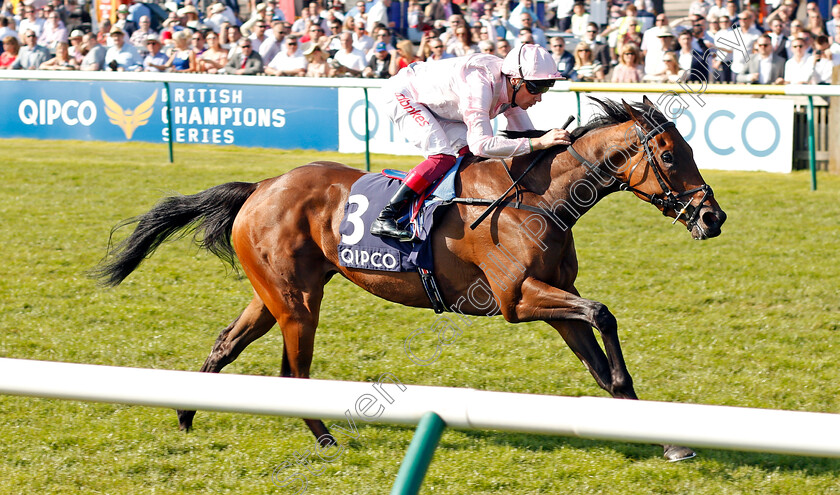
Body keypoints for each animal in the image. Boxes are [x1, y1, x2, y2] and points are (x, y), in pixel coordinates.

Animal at [90, 97, 720, 462]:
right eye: (669, 154)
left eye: (692, 148)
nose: (713, 217)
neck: (539, 199)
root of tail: (262, 185)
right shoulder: (517, 299)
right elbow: (603, 313)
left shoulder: (552, 301)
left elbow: (603, 363)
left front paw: (665, 440)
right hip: (297, 301)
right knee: (293, 371)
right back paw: (325, 439)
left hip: (272, 295)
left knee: (227, 343)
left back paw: (187, 411)